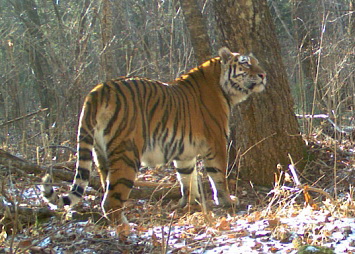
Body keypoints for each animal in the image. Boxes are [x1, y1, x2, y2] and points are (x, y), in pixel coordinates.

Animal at [43, 47, 268, 224]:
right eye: (246, 64)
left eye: (256, 62)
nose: (264, 75)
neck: (223, 86)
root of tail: (98, 90)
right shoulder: (216, 143)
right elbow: (218, 176)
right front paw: (227, 201)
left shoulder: (185, 151)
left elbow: (187, 177)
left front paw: (191, 203)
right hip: (127, 153)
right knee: (111, 201)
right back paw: (126, 227)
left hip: (101, 154)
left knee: (106, 188)